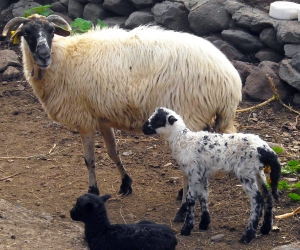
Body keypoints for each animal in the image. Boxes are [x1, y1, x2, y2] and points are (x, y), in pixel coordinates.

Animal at [1, 14, 241, 196]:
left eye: (51, 31)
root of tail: (230, 80)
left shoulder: (84, 119)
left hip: (190, 115)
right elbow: (112, 152)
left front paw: (93, 190)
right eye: (26, 33)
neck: (63, 58)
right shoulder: (102, 118)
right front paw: (126, 183)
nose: (43, 56)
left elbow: (89, 159)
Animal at [143, 108, 282, 244]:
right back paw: (265, 228)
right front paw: (204, 223)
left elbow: (190, 199)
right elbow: (203, 196)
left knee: (257, 200)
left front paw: (187, 228)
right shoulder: (202, 174)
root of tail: (266, 149)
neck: (183, 140)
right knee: (268, 196)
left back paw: (248, 235)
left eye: (158, 120)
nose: (143, 128)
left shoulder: (193, 172)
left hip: (246, 172)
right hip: (258, 172)